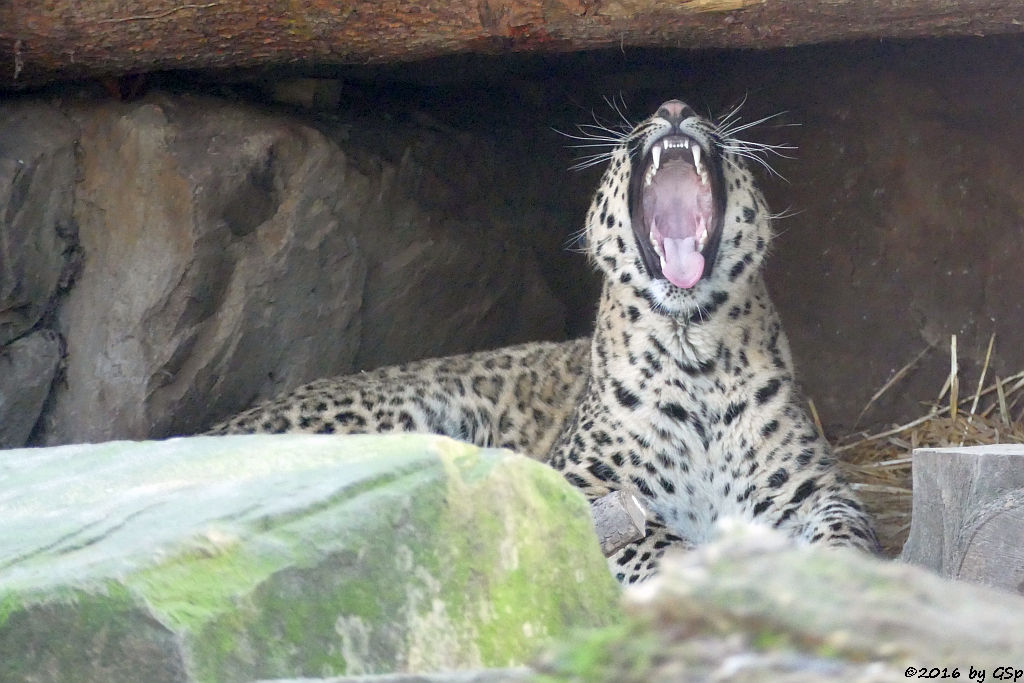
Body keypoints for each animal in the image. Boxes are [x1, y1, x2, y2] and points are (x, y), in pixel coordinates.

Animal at [209, 98, 880, 585]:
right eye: (648, 117)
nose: (673, 106)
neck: (697, 355)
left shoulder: (817, 491)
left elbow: (847, 533)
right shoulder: (581, 481)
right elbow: (652, 541)